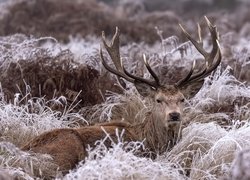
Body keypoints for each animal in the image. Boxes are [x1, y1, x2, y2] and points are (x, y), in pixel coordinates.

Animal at [21, 16, 221, 174]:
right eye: (158, 100)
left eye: (182, 99)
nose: (174, 115)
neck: (151, 143)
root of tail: (22, 152)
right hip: (67, 150)